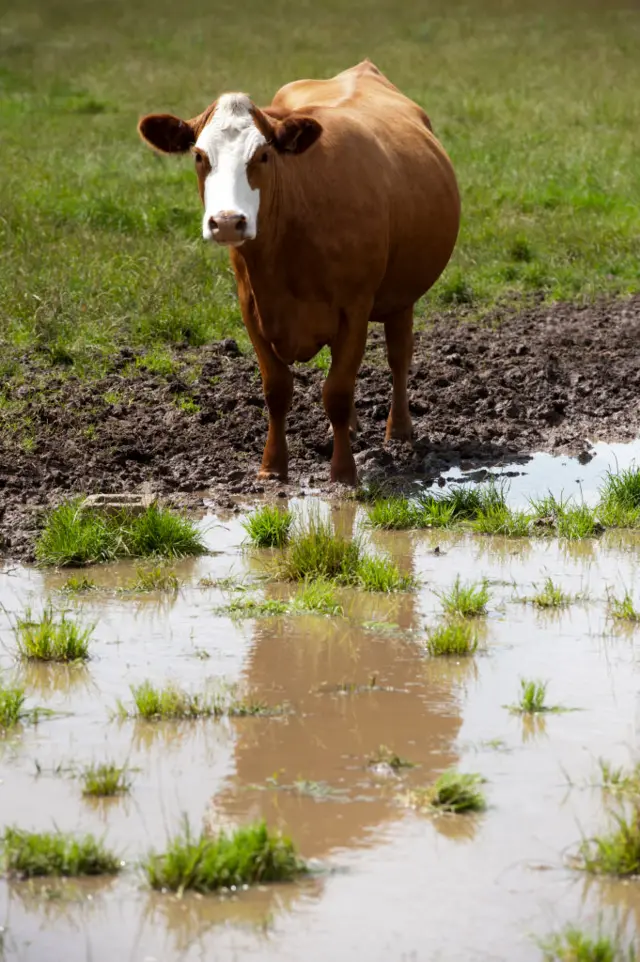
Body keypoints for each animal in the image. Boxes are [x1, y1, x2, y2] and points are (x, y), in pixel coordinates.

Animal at [139, 56, 460, 484]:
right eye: (199, 156)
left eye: (263, 155)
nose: (227, 222)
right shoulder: (251, 307)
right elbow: (277, 389)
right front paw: (272, 466)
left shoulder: (355, 308)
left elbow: (336, 391)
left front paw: (343, 472)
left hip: (401, 296)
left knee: (398, 357)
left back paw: (399, 431)